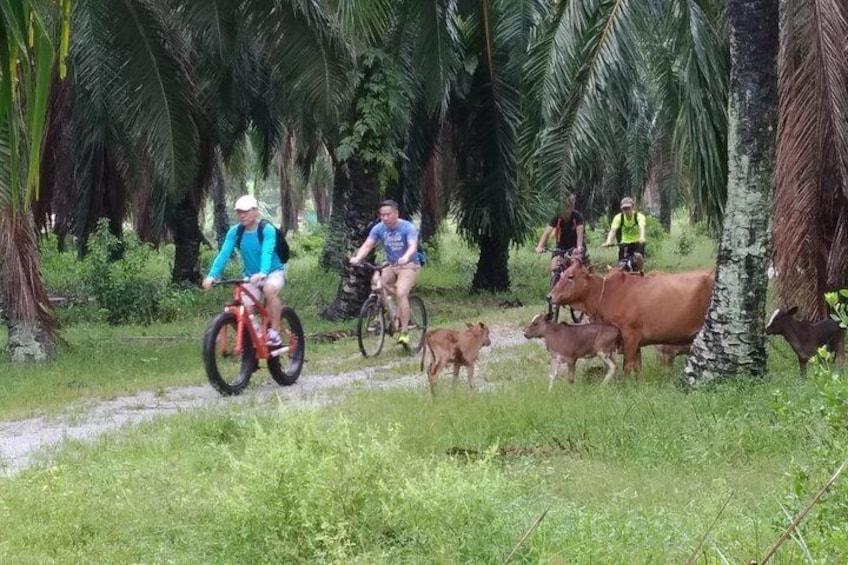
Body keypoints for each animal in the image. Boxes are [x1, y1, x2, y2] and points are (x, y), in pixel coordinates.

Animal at [548, 264, 712, 374]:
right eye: (561, 274)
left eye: (571, 276)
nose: (549, 296)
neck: (606, 295)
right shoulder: (637, 341)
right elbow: (637, 366)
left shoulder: (630, 335)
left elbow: (627, 365)